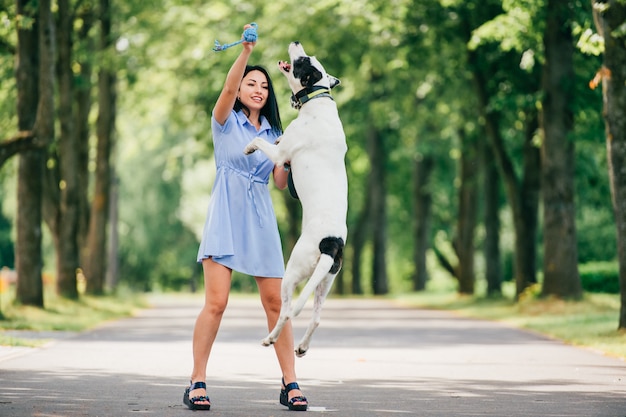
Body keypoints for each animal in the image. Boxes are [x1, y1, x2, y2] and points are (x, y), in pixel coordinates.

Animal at [241, 41, 346, 354]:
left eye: (302, 61)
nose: (296, 41)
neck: (317, 99)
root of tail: (332, 243)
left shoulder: (280, 155)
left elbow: (262, 141)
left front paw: (249, 146)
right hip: (325, 280)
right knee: (317, 317)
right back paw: (301, 347)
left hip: (293, 272)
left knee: (287, 311)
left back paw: (270, 338)